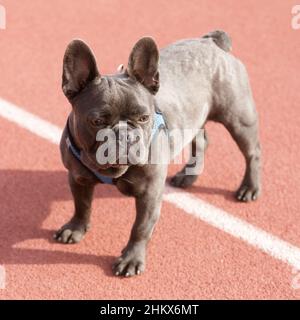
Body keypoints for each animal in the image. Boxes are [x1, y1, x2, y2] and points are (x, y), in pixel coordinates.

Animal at [55, 31, 262, 278]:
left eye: (144, 118)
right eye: (97, 122)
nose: (126, 135)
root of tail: (212, 41)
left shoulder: (149, 192)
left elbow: (141, 227)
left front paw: (131, 258)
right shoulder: (78, 178)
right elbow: (82, 206)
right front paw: (76, 228)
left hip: (238, 118)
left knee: (252, 152)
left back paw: (250, 187)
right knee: (201, 142)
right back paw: (187, 176)